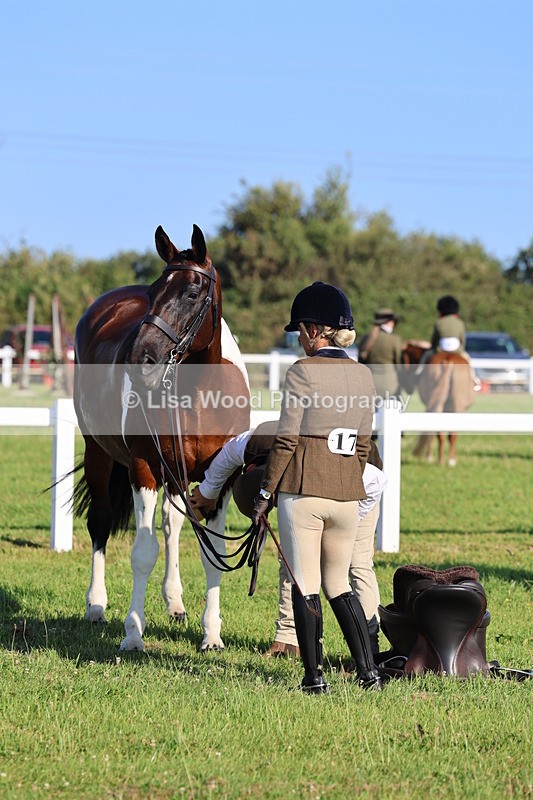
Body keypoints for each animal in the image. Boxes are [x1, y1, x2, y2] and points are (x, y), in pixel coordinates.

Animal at [73, 224, 250, 651]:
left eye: (192, 293)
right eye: (153, 292)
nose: (139, 359)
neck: (202, 395)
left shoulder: (220, 478)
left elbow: (212, 551)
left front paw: (211, 634)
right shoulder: (145, 468)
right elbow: (142, 551)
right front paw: (133, 634)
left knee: (172, 523)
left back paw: (175, 602)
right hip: (97, 453)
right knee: (100, 523)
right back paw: (96, 605)